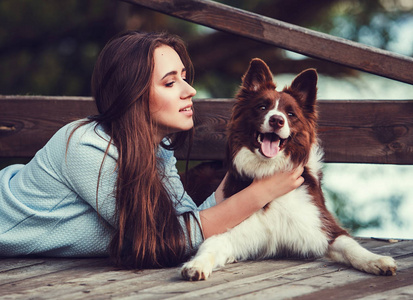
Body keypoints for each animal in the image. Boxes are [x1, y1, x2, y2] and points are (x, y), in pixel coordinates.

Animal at [180, 58, 396, 282]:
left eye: (290, 113)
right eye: (262, 107)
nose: (277, 120)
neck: (269, 170)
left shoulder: (322, 225)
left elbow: (350, 245)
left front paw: (376, 260)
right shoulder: (232, 225)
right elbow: (211, 244)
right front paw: (196, 264)